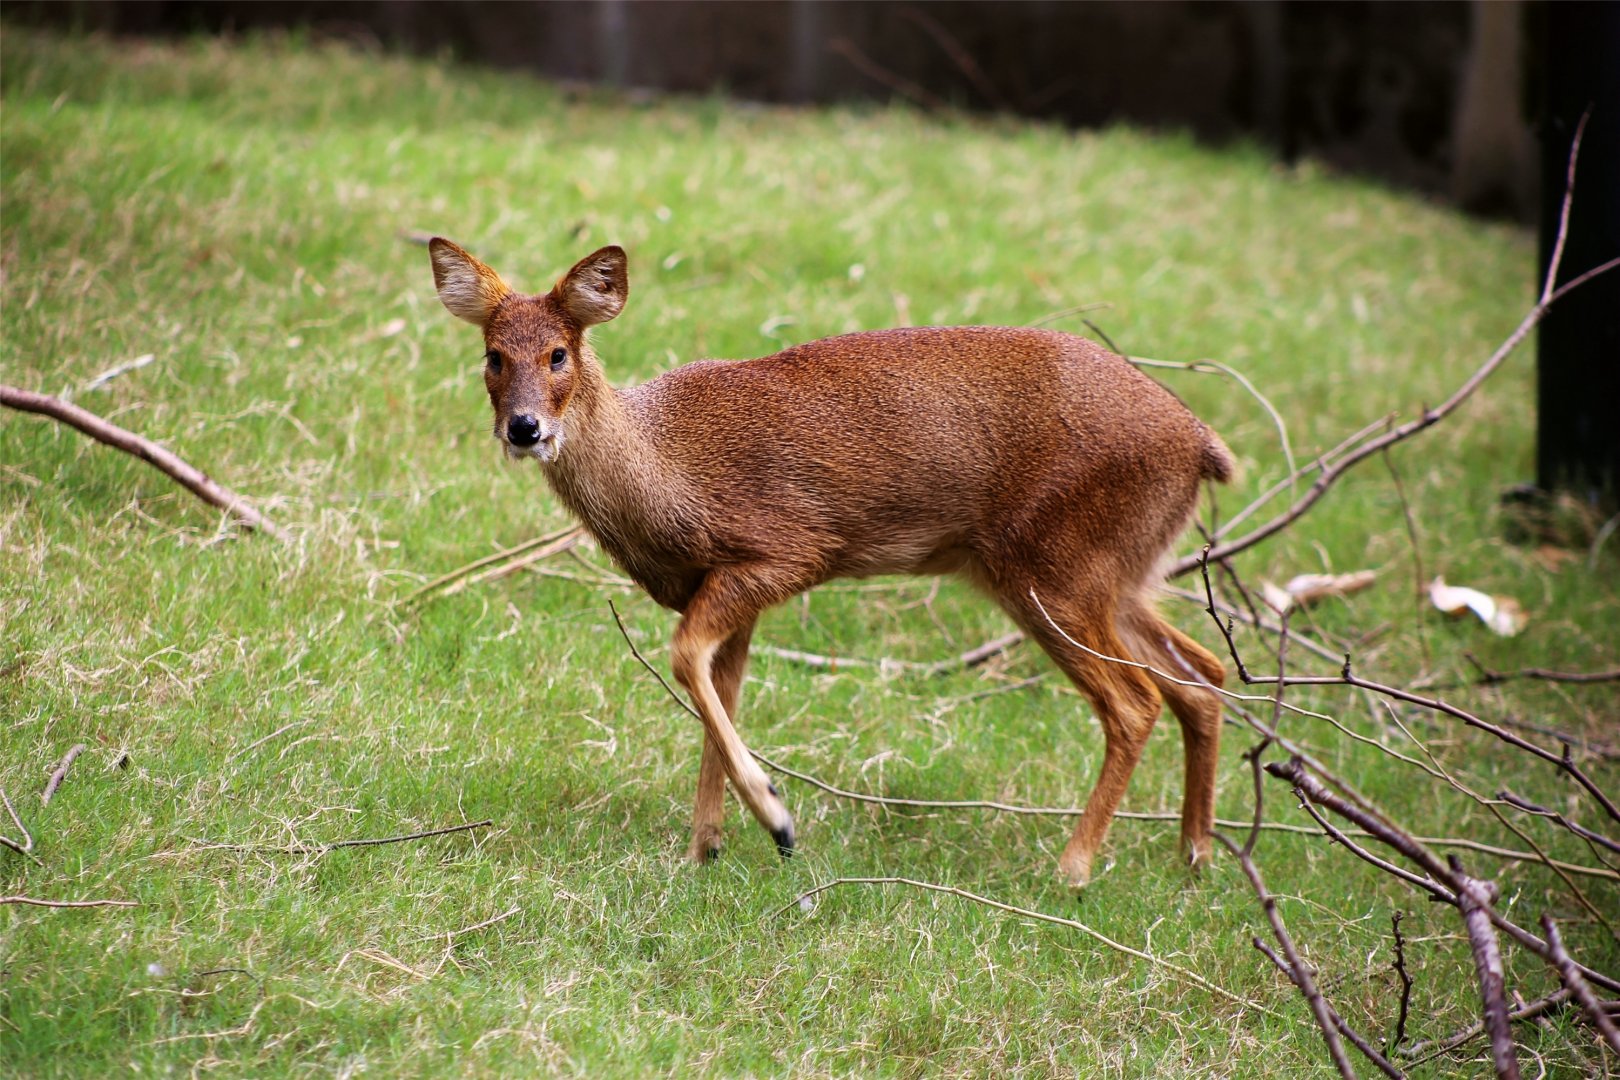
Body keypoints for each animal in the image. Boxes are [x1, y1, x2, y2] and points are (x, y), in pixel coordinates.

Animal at [428, 238, 1234, 889]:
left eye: (559, 353)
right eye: (492, 356)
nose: (524, 427)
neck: (669, 476)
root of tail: (1201, 444)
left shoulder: (786, 548)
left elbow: (686, 656)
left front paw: (775, 820)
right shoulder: (728, 590)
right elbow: (719, 690)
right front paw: (704, 848)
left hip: (1054, 568)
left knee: (1135, 701)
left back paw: (1073, 868)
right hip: (1117, 571)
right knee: (1202, 670)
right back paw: (1195, 855)